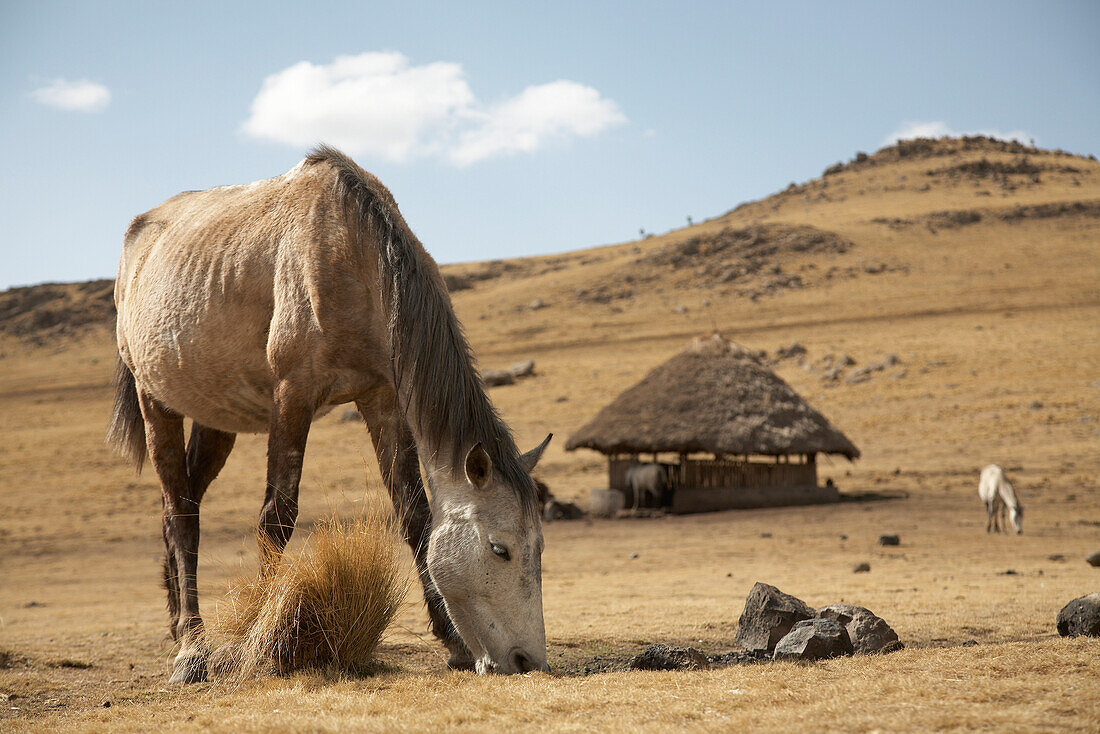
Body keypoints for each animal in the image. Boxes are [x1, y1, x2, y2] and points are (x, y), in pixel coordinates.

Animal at [109, 147, 550, 682]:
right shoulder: (292, 396)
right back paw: (191, 649)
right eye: (499, 548)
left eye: (540, 548)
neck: (356, 257)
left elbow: (415, 515)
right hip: (157, 405)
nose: (528, 661)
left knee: (179, 506)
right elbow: (277, 517)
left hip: (215, 420)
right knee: (181, 516)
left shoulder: (382, 398)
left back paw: (178, 626)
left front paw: (453, 643)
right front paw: (260, 641)